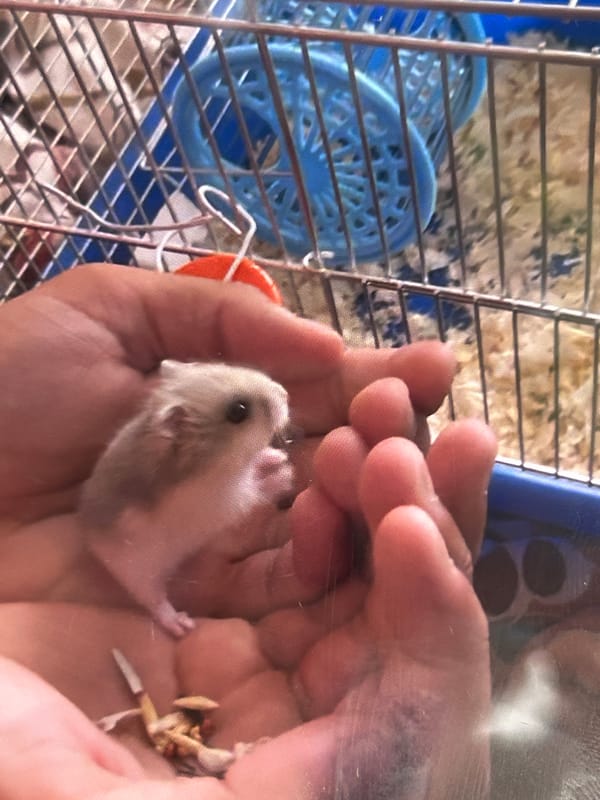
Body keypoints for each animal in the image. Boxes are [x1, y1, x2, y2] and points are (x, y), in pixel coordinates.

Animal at [79, 359, 294, 638]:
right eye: (238, 411)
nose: (285, 394)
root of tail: (91, 539)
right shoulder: (229, 501)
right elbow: (259, 491)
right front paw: (287, 474)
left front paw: (277, 456)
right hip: (137, 571)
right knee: (153, 599)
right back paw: (180, 624)